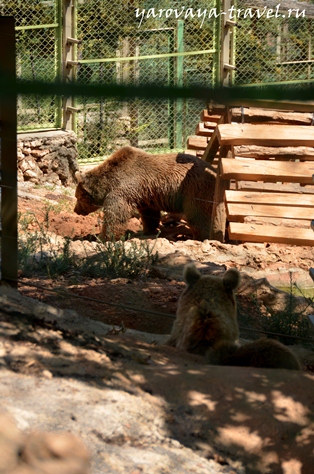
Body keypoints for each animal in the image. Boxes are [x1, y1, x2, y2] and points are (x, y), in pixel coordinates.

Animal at [73, 145, 216, 241]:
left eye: (78, 197)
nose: (76, 210)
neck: (109, 183)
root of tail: (214, 171)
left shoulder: (123, 192)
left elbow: (115, 216)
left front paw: (102, 238)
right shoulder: (145, 195)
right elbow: (149, 215)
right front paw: (146, 231)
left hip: (195, 189)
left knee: (198, 215)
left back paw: (201, 237)